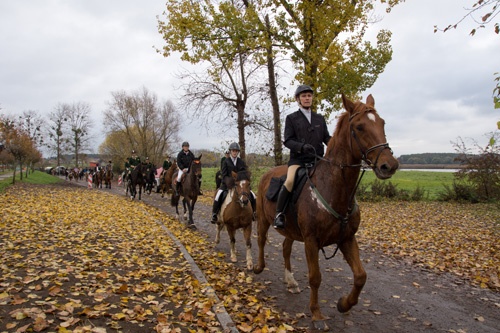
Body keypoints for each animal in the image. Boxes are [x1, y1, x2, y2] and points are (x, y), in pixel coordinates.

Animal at [254, 94, 398, 330]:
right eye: (359, 127)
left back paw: (291, 282)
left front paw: (344, 304)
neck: (334, 189)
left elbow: (361, 276)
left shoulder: (347, 238)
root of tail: (268, 173)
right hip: (265, 220)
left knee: (285, 248)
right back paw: (258, 267)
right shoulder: (311, 241)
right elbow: (315, 277)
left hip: (292, 231)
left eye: (382, 123)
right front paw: (317, 315)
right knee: (260, 240)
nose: (389, 165)